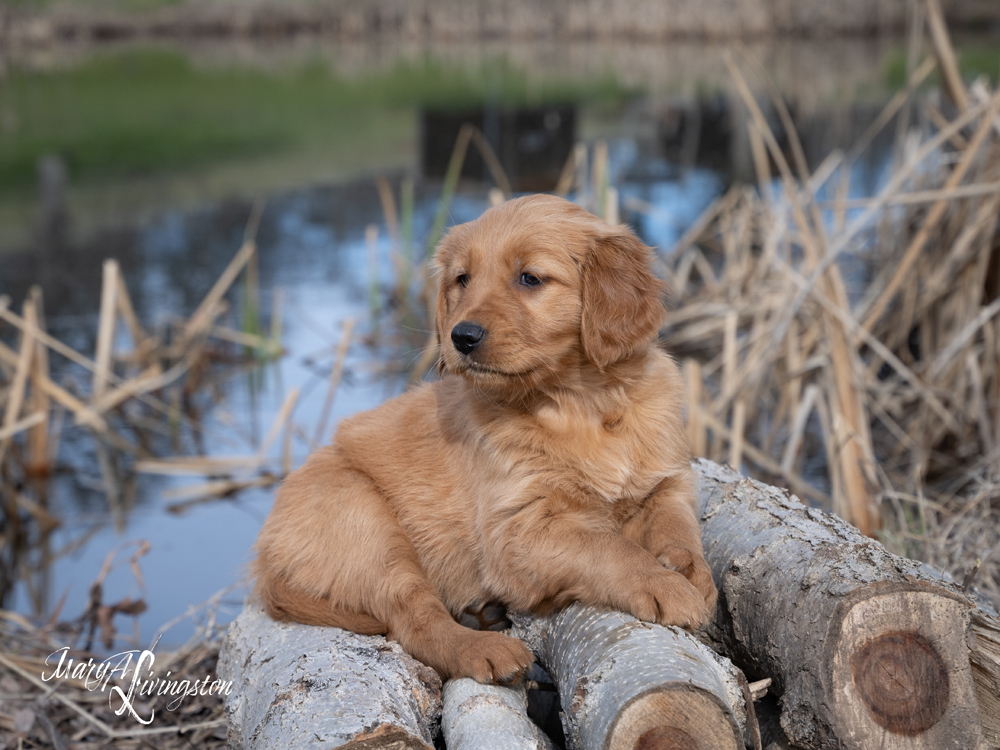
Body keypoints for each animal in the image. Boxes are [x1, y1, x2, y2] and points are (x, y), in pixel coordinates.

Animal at [254, 195, 716, 688]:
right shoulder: (517, 532)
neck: (581, 405)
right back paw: (484, 648)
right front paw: (663, 584)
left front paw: (692, 572)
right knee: (414, 620)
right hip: (364, 521)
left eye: (530, 277)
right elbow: (608, 548)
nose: (462, 336)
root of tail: (264, 557)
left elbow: (678, 524)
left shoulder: (666, 481)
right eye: (463, 279)